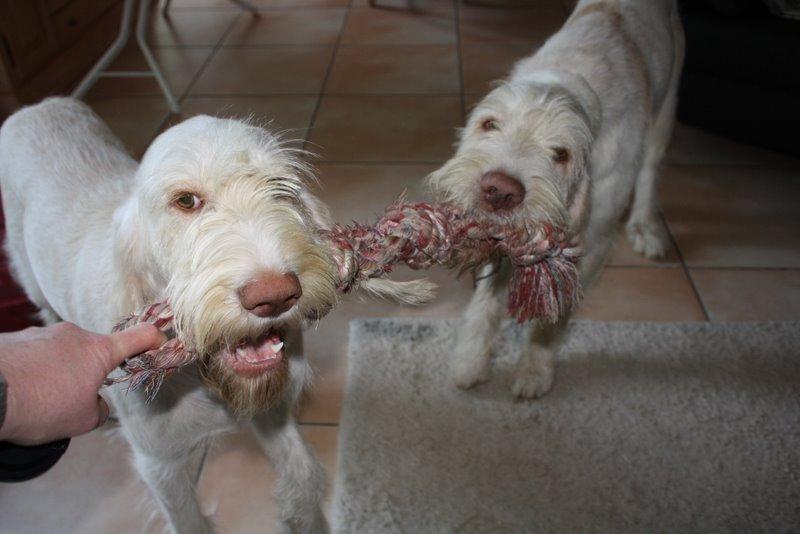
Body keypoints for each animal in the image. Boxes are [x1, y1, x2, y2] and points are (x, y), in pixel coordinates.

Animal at [0, 97, 427, 533]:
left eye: (282, 188)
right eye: (186, 201)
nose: (274, 296)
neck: (203, 381)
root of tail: (39, 105)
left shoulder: (273, 412)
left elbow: (304, 476)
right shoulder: (159, 463)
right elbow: (188, 520)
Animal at [428, 0, 684, 399]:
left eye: (561, 154)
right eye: (489, 124)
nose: (499, 190)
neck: (568, 81)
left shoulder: (593, 241)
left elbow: (557, 314)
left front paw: (535, 368)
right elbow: (486, 300)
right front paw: (471, 359)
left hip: (667, 107)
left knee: (650, 169)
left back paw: (645, 225)